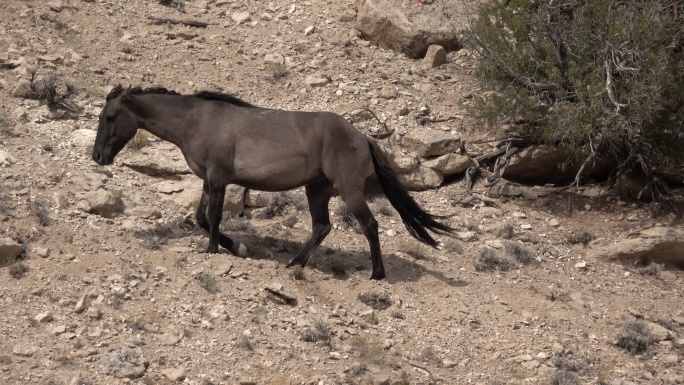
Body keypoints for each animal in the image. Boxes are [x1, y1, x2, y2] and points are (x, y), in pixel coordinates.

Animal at [92, 85, 454, 280]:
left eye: (110, 117)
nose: (98, 156)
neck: (197, 121)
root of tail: (362, 136)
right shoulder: (209, 181)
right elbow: (201, 218)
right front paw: (235, 247)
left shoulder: (219, 179)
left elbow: (213, 217)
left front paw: (214, 249)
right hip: (316, 190)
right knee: (322, 227)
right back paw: (295, 262)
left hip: (348, 191)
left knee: (369, 225)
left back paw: (377, 274)